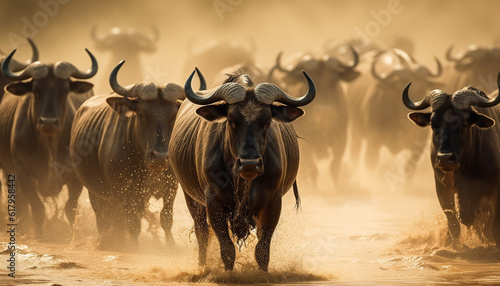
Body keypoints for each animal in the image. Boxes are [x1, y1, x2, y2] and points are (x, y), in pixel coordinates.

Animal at [0, 48, 97, 237]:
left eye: (65, 91)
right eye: (36, 90)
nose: (49, 122)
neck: (50, 145)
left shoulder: (76, 177)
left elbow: (70, 209)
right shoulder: (22, 172)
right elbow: (37, 208)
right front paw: (39, 235)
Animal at [69, 61, 204, 249]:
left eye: (173, 115)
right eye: (141, 114)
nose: (160, 156)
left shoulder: (171, 187)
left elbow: (165, 217)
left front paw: (171, 244)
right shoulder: (123, 190)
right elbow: (131, 220)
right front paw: (133, 245)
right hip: (94, 191)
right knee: (103, 218)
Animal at [170, 70, 314, 272]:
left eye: (267, 121)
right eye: (231, 120)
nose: (249, 164)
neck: (243, 182)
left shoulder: (272, 202)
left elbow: (262, 250)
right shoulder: (213, 201)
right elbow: (227, 249)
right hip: (189, 196)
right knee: (202, 233)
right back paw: (202, 266)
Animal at [402, 81, 500, 245]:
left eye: (464, 124)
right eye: (433, 124)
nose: (445, 158)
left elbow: (493, 228)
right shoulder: (442, 187)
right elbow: (453, 224)